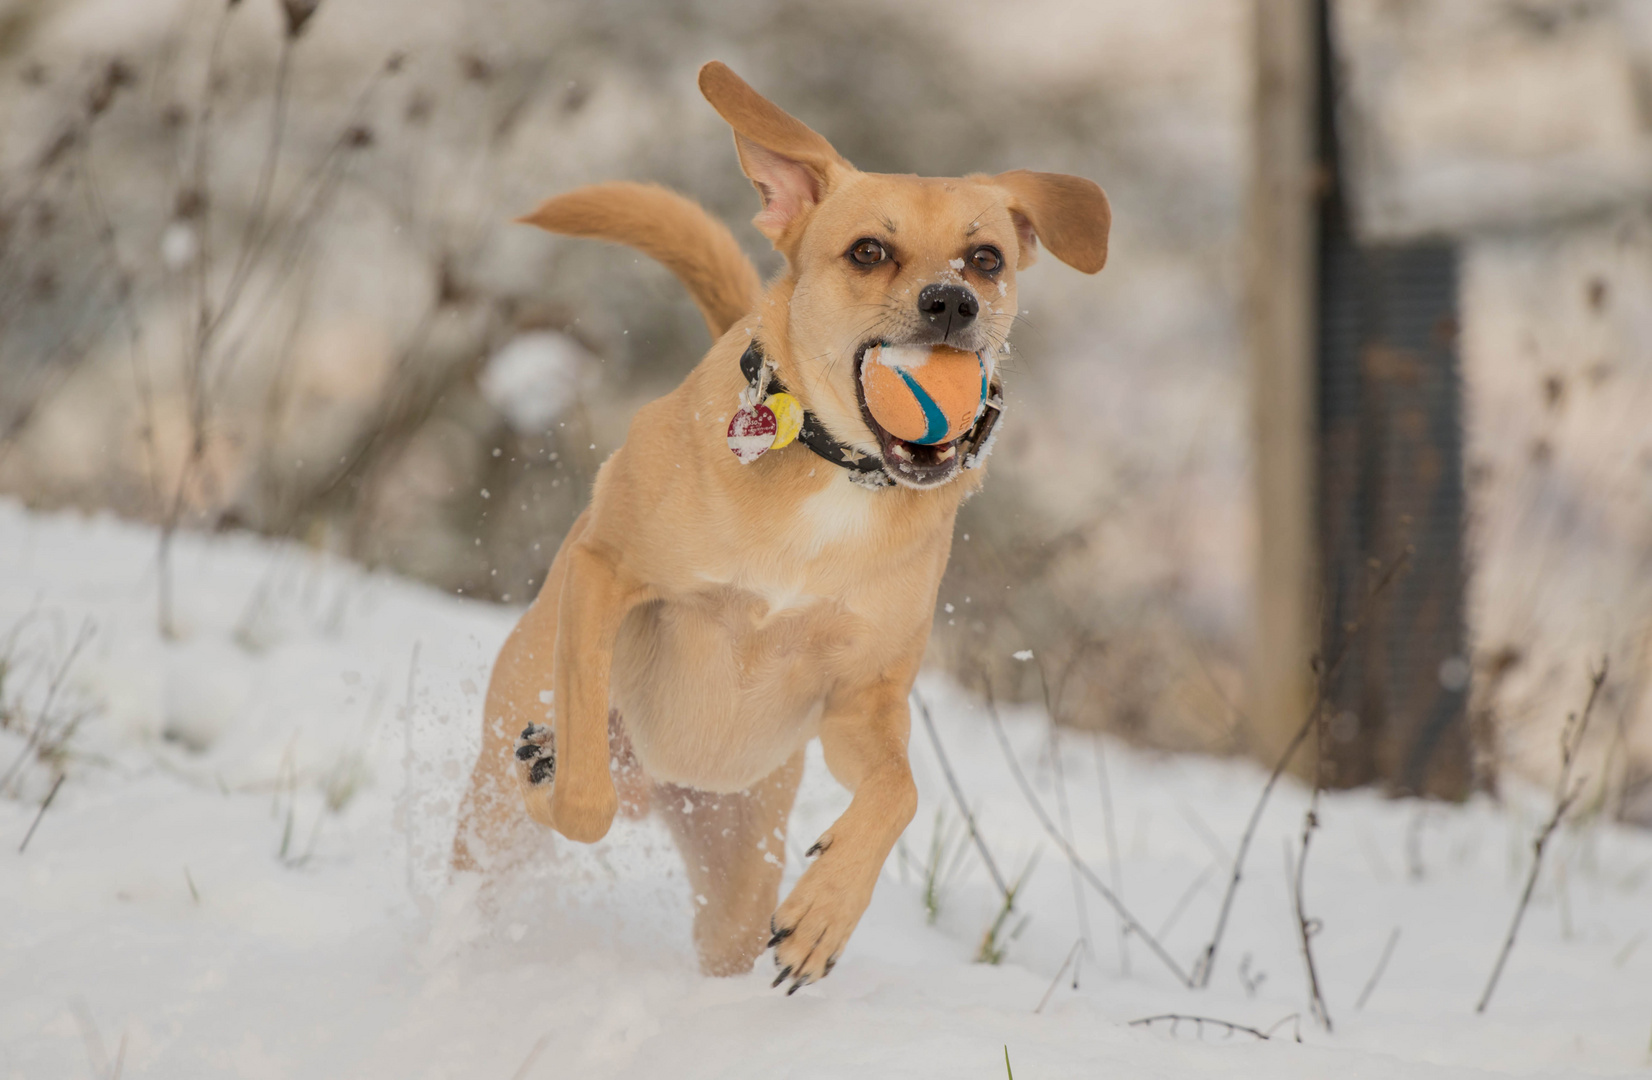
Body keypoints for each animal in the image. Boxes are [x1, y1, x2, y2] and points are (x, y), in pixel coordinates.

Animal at [455, 56, 1110, 990]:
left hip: (736, 863)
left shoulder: (862, 700)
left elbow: (899, 791)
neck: (834, 475)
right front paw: (557, 772)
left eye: (987, 258)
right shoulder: (605, 573)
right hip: (492, 814)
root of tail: (664, 784)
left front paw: (826, 913)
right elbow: (582, 788)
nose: (952, 303)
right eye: (869, 251)